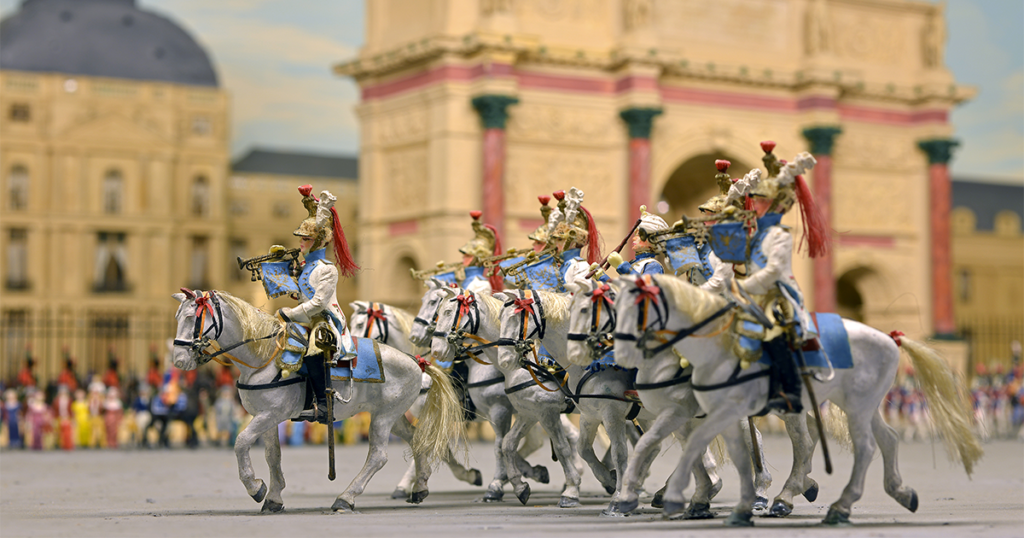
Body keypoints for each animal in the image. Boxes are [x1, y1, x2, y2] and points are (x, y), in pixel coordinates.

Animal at [171, 288, 464, 512]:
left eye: (192, 318)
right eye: (177, 317)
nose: (178, 360)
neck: (263, 358)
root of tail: (417, 360)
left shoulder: (269, 415)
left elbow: (241, 442)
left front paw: (255, 487)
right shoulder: (266, 417)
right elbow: (272, 455)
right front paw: (274, 497)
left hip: (383, 418)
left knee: (378, 456)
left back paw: (346, 498)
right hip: (393, 414)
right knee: (416, 439)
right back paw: (420, 487)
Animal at [610, 274, 978, 524]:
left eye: (637, 307)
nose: (621, 350)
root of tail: (890, 338)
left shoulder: (690, 412)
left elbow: (655, 447)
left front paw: (633, 497)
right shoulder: (693, 415)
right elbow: (699, 451)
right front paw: (700, 500)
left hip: (846, 408)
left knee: (852, 446)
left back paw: (824, 503)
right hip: (858, 404)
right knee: (883, 439)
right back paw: (894, 492)